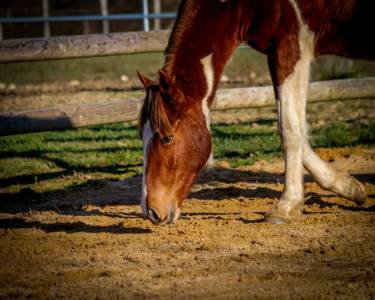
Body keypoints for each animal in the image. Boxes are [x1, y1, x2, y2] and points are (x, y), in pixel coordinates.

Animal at [139, 0, 375, 225]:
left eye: (167, 138)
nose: (151, 211)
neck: (241, 5)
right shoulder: (275, 52)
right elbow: (294, 128)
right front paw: (350, 187)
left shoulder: (292, 46)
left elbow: (289, 129)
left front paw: (286, 206)